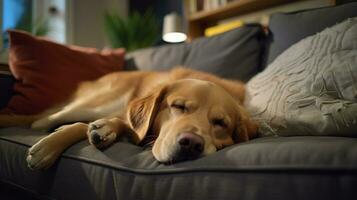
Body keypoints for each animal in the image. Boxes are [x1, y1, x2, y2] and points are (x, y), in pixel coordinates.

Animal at [0, 67, 256, 169]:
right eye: (178, 106)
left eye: (221, 123)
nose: (191, 144)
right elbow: (87, 125)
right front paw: (48, 148)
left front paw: (105, 130)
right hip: (98, 103)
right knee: (42, 120)